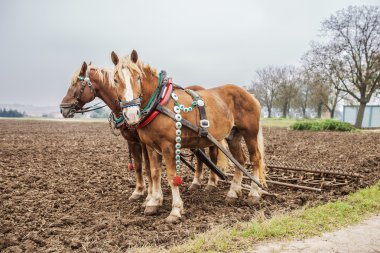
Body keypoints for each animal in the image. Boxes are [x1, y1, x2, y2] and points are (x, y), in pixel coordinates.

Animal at [113, 50, 264, 222]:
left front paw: (175, 210)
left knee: (255, 159)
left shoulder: (168, 146)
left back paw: (254, 194)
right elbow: (155, 173)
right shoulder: (151, 146)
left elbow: (172, 176)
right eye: (115, 80)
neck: (159, 103)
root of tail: (250, 95)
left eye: (138, 77)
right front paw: (153, 203)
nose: (131, 114)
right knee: (240, 160)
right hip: (234, 135)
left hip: (250, 133)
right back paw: (232, 193)